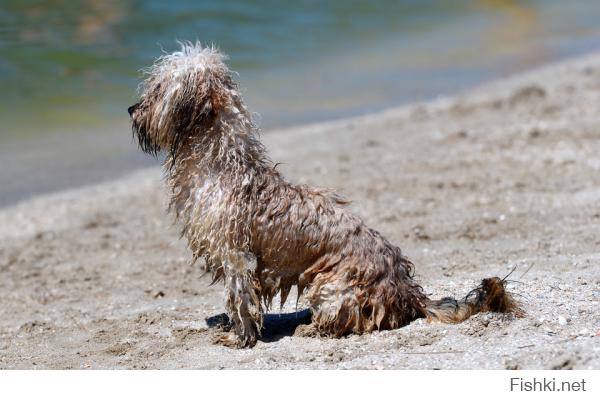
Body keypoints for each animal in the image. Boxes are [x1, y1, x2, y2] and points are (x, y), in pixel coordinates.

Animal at [127, 41, 520, 346]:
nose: (131, 109)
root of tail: (407, 290)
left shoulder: (234, 255)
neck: (221, 162)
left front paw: (240, 336)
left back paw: (310, 329)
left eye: (156, 90)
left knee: (350, 322)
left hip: (329, 287)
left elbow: (240, 297)